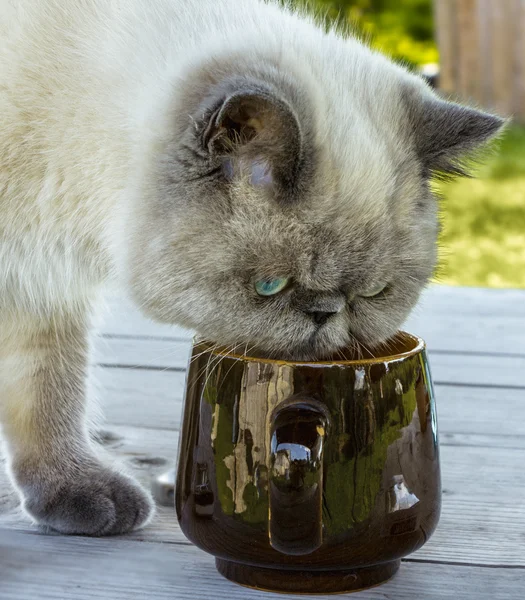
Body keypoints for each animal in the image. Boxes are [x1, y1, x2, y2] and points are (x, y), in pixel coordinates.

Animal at [1, 0, 504, 536]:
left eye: (372, 294)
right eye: (270, 285)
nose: (324, 314)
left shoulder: (38, 286)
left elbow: (47, 392)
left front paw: (74, 491)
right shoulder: (31, 274)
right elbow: (51, 392)